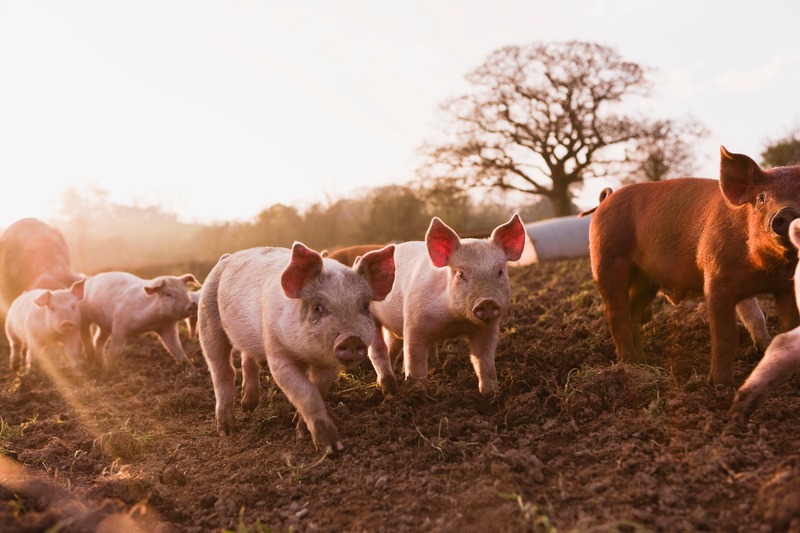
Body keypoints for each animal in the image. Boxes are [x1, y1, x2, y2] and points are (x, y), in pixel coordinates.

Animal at [199, 242, 395, 453]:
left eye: (365, 306)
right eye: (317, 307)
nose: (351, 338)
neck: (307, 355)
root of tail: (226, 258)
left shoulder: (328, 365)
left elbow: (317, 389)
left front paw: (301, 432)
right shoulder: (278, 354)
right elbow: (306, 392)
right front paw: (331, 448)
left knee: (247, 359)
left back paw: (248, 407)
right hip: (207, 320)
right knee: (222, 370)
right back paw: (226, 431)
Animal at [367, 214, 526, 397]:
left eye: (500, 272)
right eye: (461, 274)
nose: (487, 301)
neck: (455, 322)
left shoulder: (488, 328)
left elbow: (484, 360)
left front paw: (490, 393)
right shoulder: (414, 323)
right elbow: (415, 361)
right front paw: (418, 391)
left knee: (392, 347)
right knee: (378, 350)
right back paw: (388, 388)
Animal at [589, 146, 800, 386]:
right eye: (761, 198)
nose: (787, 213)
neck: (764, 270)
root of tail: (606, 199)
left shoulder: (786, 287)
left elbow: (787, 325)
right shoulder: (716, 280)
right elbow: (726, 334)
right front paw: (720, 385)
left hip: (646, 279)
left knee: (632, 311)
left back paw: (643, 362)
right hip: (606, 260)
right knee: (617, 314)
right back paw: (629, 366)